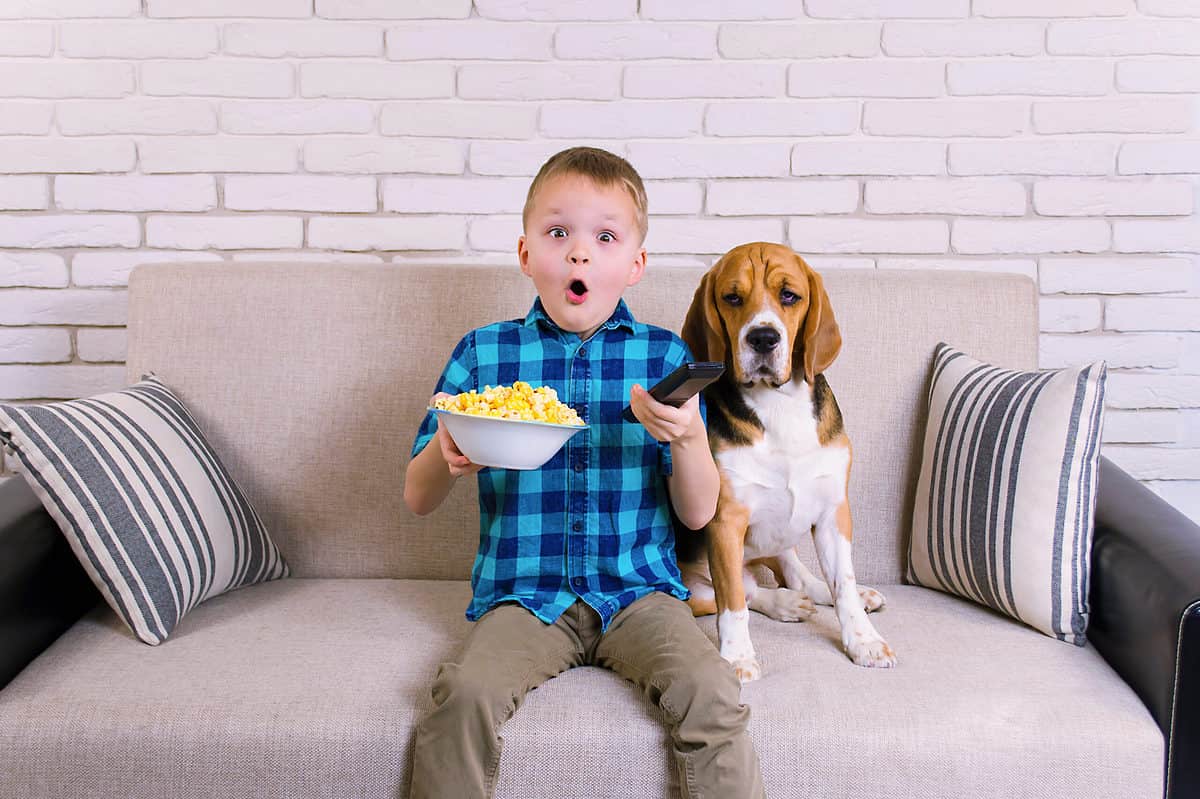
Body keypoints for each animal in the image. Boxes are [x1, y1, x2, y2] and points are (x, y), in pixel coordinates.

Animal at [681, 242, 897, 676]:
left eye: (789, 296)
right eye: (732, 298)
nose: (763, 338)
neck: (778, 403)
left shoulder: (833, 511)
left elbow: (843, 584)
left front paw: (863, 640)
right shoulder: (725, 521)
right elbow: (732, 602)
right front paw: (737, 656)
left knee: (798, 576)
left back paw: (840, 594)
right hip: (693, 589)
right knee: (743, 592)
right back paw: (782, 604)